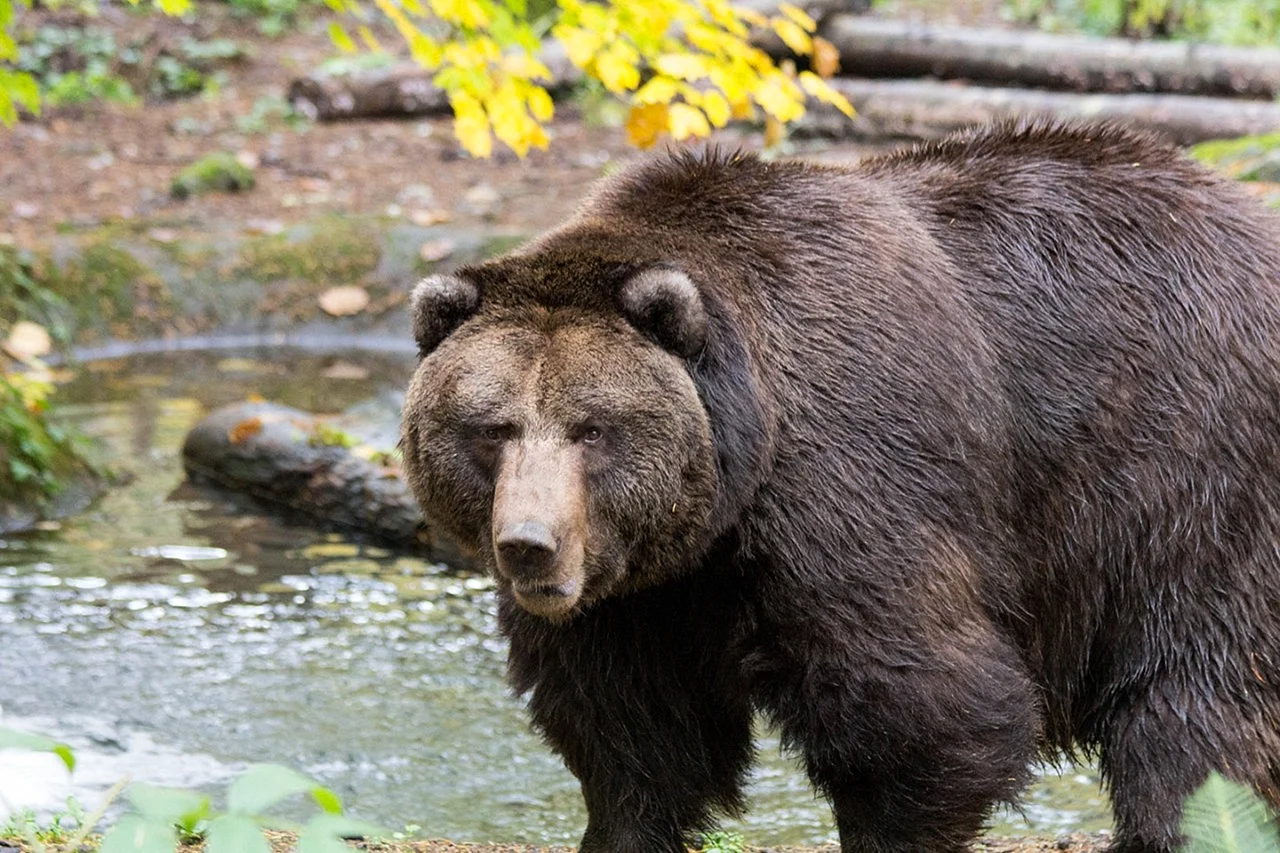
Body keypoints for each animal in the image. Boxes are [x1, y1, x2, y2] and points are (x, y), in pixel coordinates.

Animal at [399, 121, 1280, 850]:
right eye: (491, 427)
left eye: (592, 428)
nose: (530, 545)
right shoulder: (638, 593)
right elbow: (632, 725)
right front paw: (621, 823)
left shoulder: (851, 476)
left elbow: (922, 706)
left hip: (1185, 474)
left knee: (1197, 701)